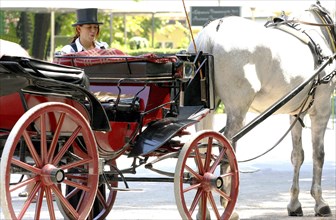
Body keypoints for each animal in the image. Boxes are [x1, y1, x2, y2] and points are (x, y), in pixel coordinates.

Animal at [189, 1, 336, 218]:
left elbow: (297, 155)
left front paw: (294, 204)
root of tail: (211, 32)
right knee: (227, 146)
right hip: (238, 110)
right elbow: (318, 155)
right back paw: (227, 205)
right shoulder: (322, 109)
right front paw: (320, 202)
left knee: (201, 148)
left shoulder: (296, 112)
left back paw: (203, 209)